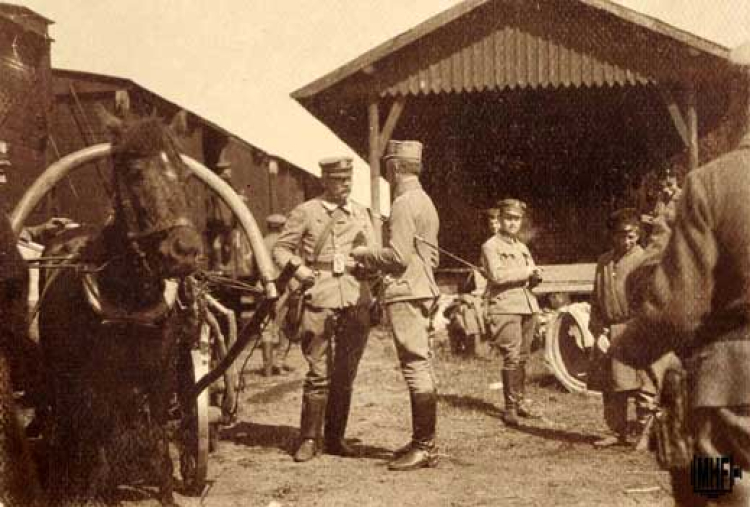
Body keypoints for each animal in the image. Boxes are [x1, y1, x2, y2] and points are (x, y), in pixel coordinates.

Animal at [37, 113, 204, 506]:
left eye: (186, 175)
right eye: (135, 173)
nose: (185, 251)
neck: (129, 303)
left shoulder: (159, 379)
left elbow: (158, 449)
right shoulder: (94, 386)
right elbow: (100, 455)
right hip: (60, 377)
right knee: (65, 430)